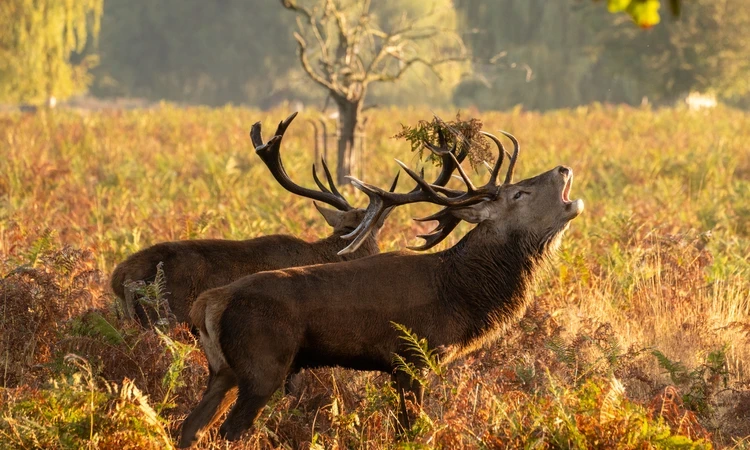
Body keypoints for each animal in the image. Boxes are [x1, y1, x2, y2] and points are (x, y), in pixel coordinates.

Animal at [178, 128, 584, 448]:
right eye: (518, 194)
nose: (563, 168)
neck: (460, 295)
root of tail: (209, 303)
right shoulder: (413, 358)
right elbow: (412, 433)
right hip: (262, 365)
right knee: (226, 432)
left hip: (224, 370)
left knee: (190, 427)